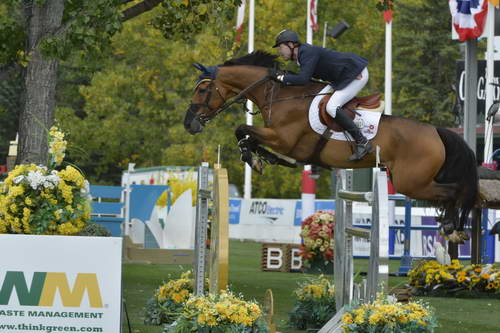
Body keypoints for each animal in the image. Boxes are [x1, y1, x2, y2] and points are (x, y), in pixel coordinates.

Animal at [184, 50, 476, 243]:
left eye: (202, 90)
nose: (189, 124)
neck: (280, 95)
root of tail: (436, 131)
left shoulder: (284, 139)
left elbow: (243, 130)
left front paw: (256, 158)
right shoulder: (278, 138)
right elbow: (247, 135)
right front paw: (262, 158)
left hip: (411, 182)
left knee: (453, 190)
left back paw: (452, 227)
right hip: (411, 180)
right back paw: (453, 227)